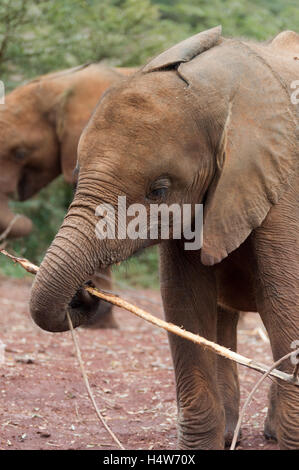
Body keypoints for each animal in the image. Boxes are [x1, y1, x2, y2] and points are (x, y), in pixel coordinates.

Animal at [29, 27, 298, 450]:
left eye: (158, 190)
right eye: (75, 171)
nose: (84, 293)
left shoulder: (284, 187)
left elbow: (283, 300)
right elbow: (185, 302)